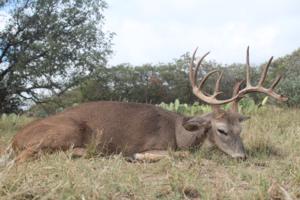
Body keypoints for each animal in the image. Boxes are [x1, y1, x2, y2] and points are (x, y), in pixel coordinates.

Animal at [0, 47, 288, 166]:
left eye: (240, 130)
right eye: (221, 130)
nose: (242, 157)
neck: (180, 133)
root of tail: (14, 140)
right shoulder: (154, 143)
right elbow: (177, 155)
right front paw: (139, 157)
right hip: (67, 129)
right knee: (30, 156)